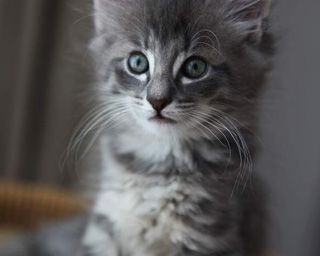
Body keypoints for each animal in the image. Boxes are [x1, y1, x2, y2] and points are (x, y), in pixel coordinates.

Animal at [0, 0, 276, 256]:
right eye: (137, 63)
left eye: (195, 67)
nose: (158, 101)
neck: (157, 164)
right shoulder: (105, 225)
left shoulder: (209, 237)